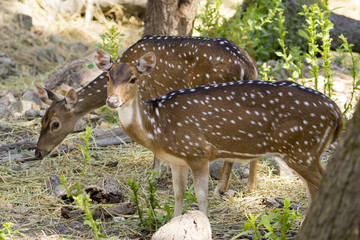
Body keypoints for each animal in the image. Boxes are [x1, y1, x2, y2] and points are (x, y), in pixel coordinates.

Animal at [34, 35, 258, 193]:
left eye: (55, 124)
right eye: (41, 120)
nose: (38, 152)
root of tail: (246, 65)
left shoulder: (150, 95)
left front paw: (154, 175)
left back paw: (221, 188)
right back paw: (250, 187)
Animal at [100, 51, 344, 217]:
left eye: (133, 79)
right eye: (108, 77)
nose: (113, 101)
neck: (157, 126)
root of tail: (337, 113)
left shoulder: (198, 152)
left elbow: (201, 194)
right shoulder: (177, 159)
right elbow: (178, 193)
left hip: (302, 149)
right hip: (305, 151)